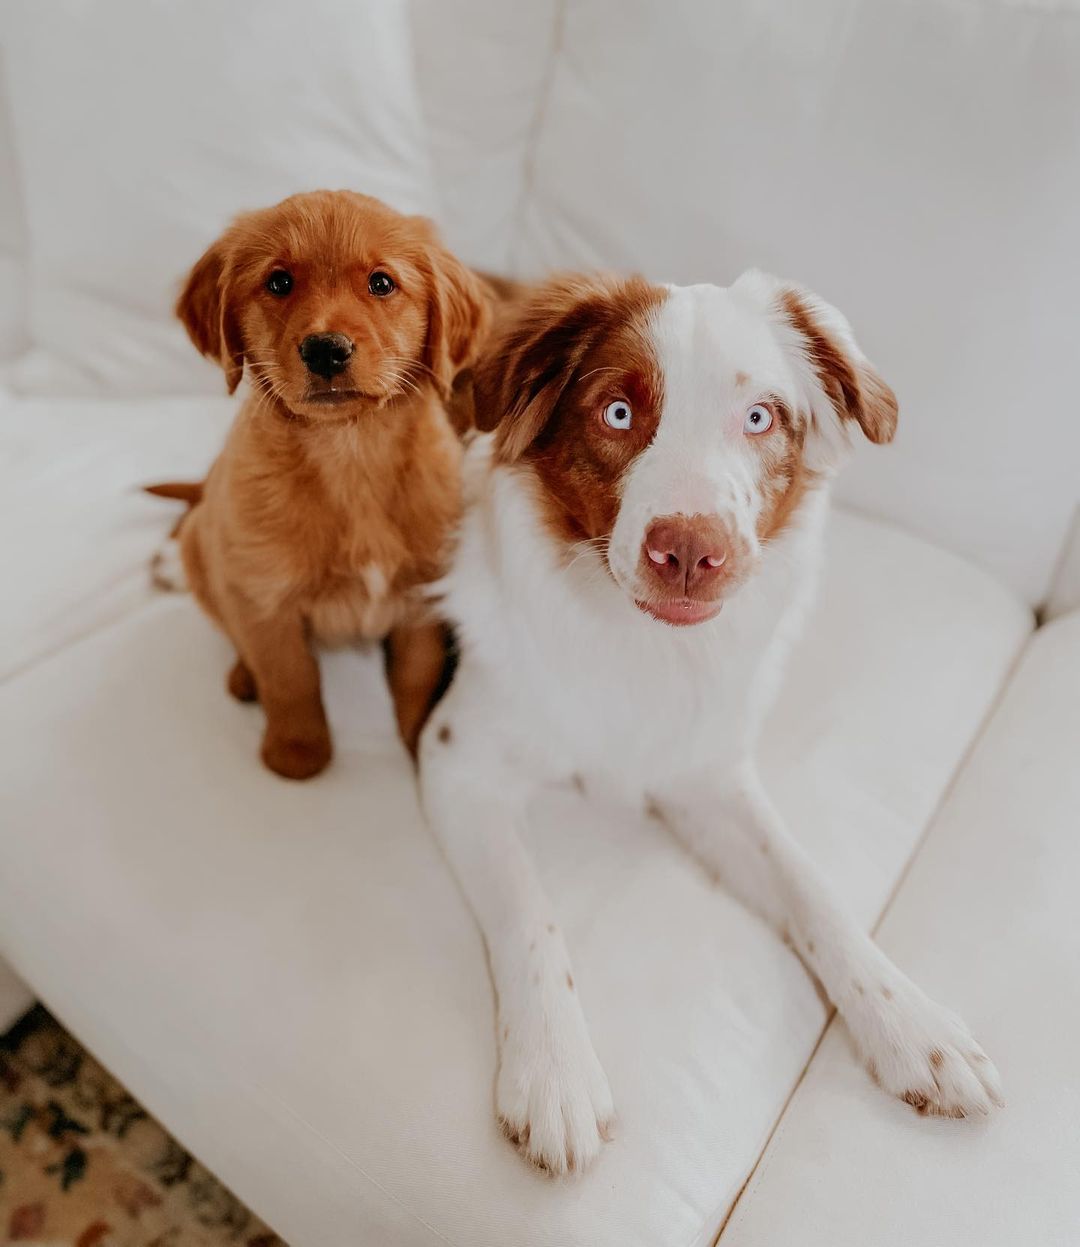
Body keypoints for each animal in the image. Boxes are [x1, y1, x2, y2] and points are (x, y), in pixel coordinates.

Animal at [148, 188, 491, 773]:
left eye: (381, 283)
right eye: (279, 282)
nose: (325, 349)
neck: (349, 453)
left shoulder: (422, 599)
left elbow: (415, 678)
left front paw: (416, 745)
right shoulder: (263, 597)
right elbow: (290, 678)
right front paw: (298, 754)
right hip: (204, 553)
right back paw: (244, 678)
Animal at [414, 273, 1002, 1177]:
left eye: (759, 417)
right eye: (618, 412)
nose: (691, 551)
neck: (640, 645)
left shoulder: (706, 778)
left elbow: (814, 889)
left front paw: (913, 1022)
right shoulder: (458, 760)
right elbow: (530, 911)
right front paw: (554, 1070)